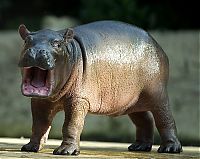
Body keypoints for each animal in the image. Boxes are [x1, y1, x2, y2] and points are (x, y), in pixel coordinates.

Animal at [18, 20, 182, 155]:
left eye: (57, 44)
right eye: (26, 40)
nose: (36, 51)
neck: (71, 51)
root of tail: (157, 44)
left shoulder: (78, 100)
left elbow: (71, 124)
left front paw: (65, 151)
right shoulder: (39, 101)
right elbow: (39, 124)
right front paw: (30, 147)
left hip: (157, 93)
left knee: (165, 118)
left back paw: (170, 149)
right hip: (132, 101)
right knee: (145, 119)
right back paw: (139, 147)